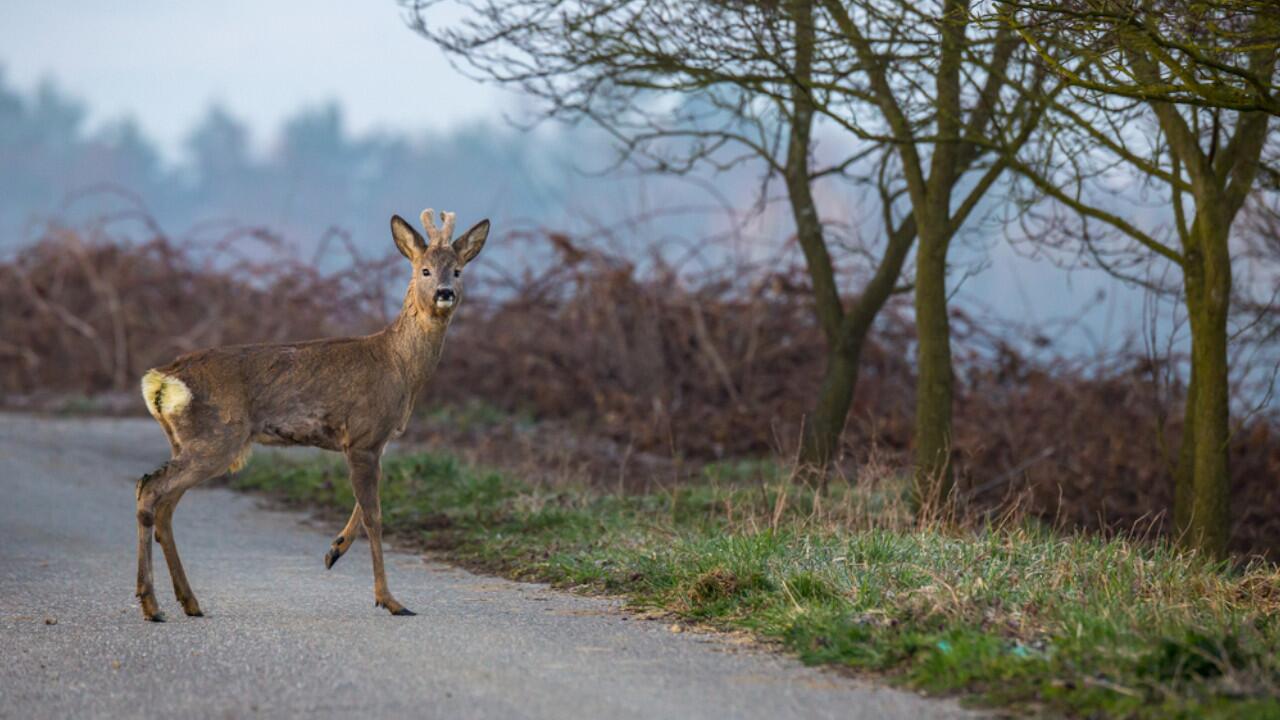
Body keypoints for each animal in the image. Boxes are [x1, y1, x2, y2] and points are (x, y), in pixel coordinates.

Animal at [132, 206, 486, 617]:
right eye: (425, 270)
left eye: (458, 270)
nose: (445, 293)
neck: (399, 366)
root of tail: (160, 379)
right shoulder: (364, 434)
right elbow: (375, 516)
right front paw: (389, 599)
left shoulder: (373, 441)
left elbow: (365, 507)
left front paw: (335, 549)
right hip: (216, 438)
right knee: (150, 488)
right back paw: (152, 604)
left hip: (188, 441)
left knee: (165, 504)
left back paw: (188, 601)